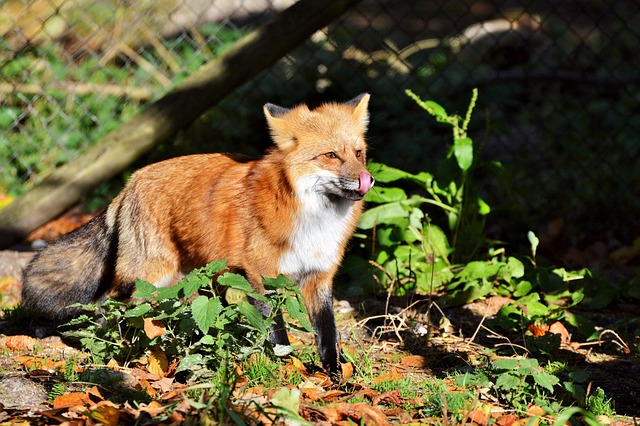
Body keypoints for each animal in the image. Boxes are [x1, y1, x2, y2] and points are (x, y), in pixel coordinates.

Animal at [22, 94, 376, 376]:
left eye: (358, 153)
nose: (367, 179)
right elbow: (275, 332)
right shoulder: (261, 276)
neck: (314, 221)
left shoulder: (319, 277)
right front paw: (284, 369)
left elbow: (328, 334)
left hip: (202, 276)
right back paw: (115, 351)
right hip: (150, 277)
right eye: (331, 155)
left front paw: (337, 374)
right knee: (110, 306)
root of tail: (130, 181)